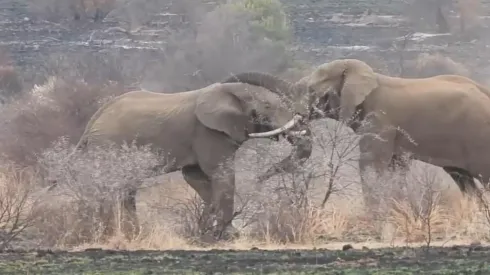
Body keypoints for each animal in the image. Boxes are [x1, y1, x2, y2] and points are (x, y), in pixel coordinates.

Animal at [71, 81, 312, 242]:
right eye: (267, 107)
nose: (260, 179)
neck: (233, 90)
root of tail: (92, 122)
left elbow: (197, 179)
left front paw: (206, 232)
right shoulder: (207, 132)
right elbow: (222, 174)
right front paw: (228, 236)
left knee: (126, 190)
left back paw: (132, 233)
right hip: (108, 145)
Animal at [220, 58, 490, 209]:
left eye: (312, 91)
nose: (256, 184)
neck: (368, 77)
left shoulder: (380, 121)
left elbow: (370, 165)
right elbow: (395, 169)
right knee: (463, 179)